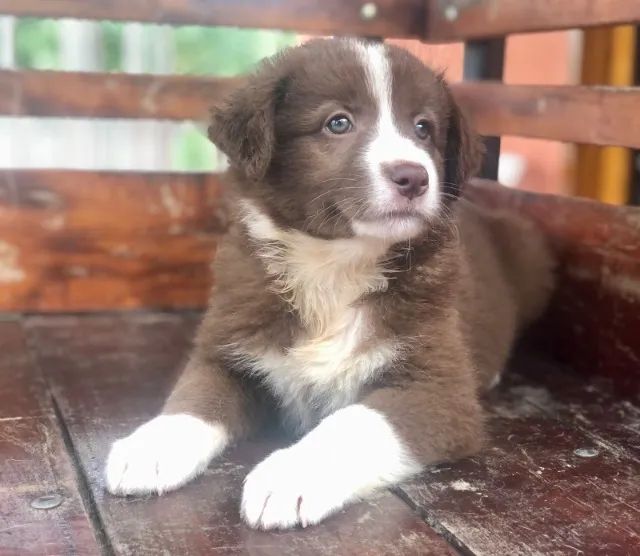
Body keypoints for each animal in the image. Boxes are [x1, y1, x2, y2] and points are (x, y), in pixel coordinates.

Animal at [105, 39, 556, 528]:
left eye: (424, 129)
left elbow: (355, 423)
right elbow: (194, 396)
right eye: (337, 123)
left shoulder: (440, 390)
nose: (414, 177)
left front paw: (290, 476)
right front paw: (149, 448)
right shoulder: (228, 349)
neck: (335, 266)